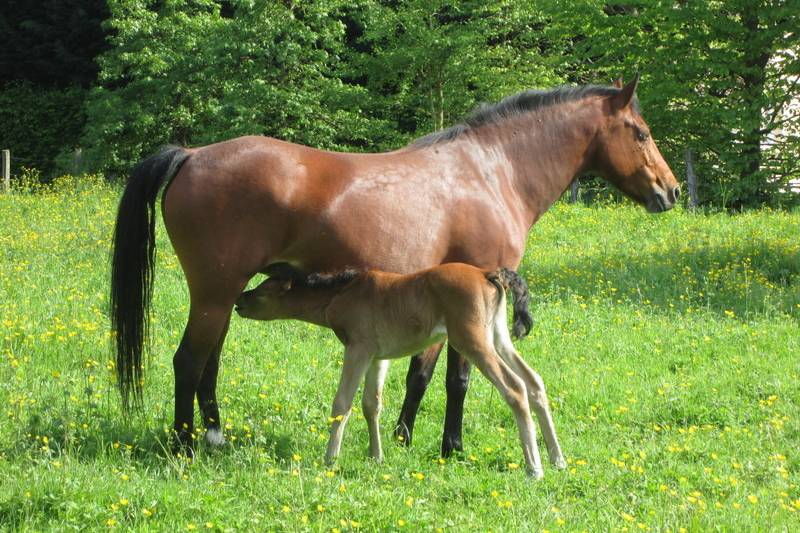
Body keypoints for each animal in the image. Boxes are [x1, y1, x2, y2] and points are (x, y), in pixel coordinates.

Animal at [109, 77, 680, 456]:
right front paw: (451, 448)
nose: (670, 191)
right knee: (189, 361)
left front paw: (402, 439)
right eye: (641, 132)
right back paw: (185, 446)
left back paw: (214, 437)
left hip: (225, 296)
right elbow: (458, 381)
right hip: (214, 292)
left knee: (209, 362)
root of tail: (192, 154)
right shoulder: (470, 302)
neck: (490, 171)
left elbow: (419, 376)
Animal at [234, 262, 564, 478]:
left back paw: (535, 468)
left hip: (472, 341)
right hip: (497, 337)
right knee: (534, 382)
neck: (343, 292)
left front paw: (330, 459)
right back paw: (557, 459)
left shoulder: (358, 348)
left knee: (515, 387)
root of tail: (487, 274)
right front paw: (376, 457)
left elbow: (342, 404)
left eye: (263, 291)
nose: (239, 300)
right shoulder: (378, 356)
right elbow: (371, 404)